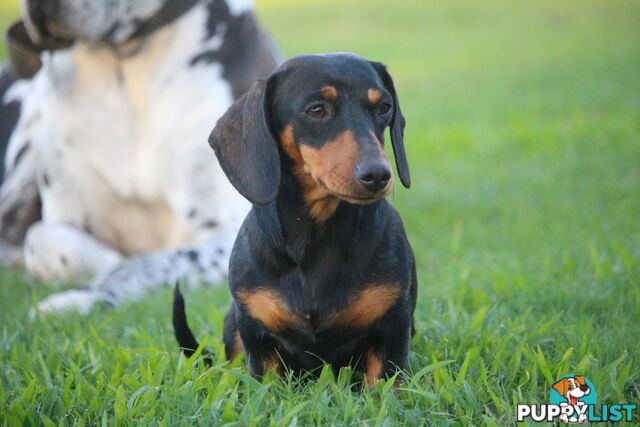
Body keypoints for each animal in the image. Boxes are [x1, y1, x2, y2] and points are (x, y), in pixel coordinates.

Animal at [0, 0, 280, 314]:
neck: (126, 58)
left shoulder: (226, 230)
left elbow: (147, 263)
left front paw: (88, 295)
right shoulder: (69, 216)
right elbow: (41, 241)